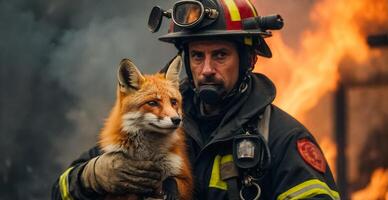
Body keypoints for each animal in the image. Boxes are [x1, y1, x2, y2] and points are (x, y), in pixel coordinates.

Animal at [98, 55, 192, 200]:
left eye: (173, 102)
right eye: (152, 103)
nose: (177, 120)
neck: (148, 155)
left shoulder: (185, 176)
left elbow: (171, 179)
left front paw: (170, 191)